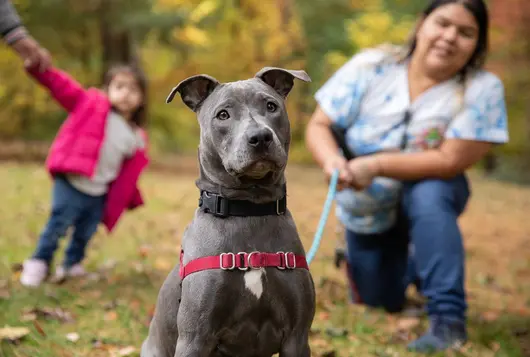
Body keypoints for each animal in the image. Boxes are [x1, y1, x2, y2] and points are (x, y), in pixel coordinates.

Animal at [140, 67, 314, 356]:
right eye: (223, 115)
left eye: (271, 106)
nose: (260, 137)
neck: (249, 212)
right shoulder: (195, 338)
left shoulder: (297, 337)